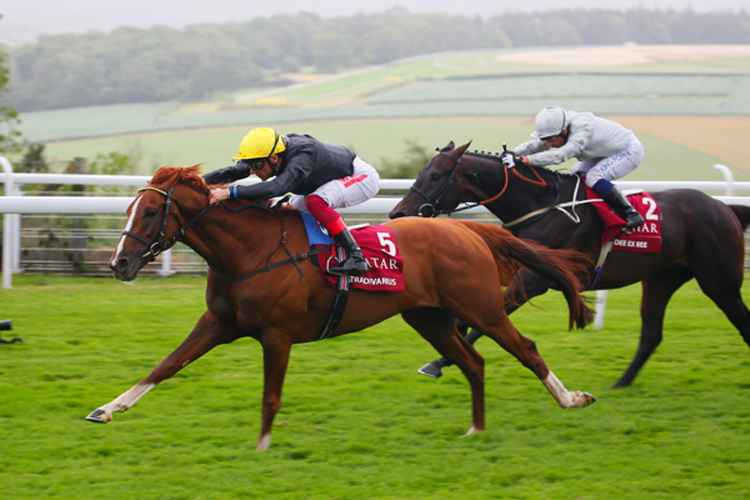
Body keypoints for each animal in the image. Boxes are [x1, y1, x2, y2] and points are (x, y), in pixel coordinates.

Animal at [85, 164, 600, 450]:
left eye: (152, 212)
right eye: (130, 209)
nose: (119, 263)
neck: (250, 251)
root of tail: (468, 229)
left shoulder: (277, 334)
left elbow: (270, 396)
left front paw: (262, 446)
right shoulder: (218, 323)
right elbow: (165, 366)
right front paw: (107, 409)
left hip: (482, 309)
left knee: (526, 349)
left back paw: (573, 398)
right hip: (429, 317)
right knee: (474, 362)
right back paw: (475, 430)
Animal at [390, 143, 750, 388]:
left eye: (436, 175)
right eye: (421, 173)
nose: (398, 213)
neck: (540, 208)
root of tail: (724, 207)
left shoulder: (535, 278)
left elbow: (490, 318)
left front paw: (439, 360)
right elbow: (469, 318)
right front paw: (446, 352)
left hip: (719, 281)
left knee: (741, 320)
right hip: (661, 279)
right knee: (650, 335)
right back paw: (621, 384)